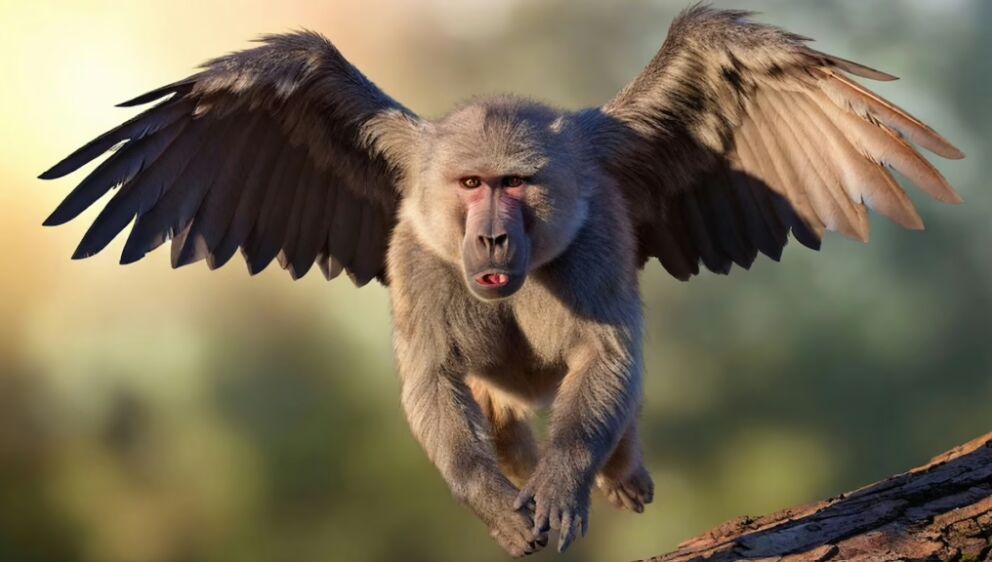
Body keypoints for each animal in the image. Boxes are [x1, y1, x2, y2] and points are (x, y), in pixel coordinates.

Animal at [39, 6, 963, 557]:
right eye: (473, 183)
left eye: (516, 184)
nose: (489, 232)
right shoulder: (422, 262)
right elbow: (430, 380)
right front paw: (493, 497)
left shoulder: (593, 248)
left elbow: (606, 357)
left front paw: (563, 485)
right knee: (492, 399)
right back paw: (516, 455)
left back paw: (611, 466)